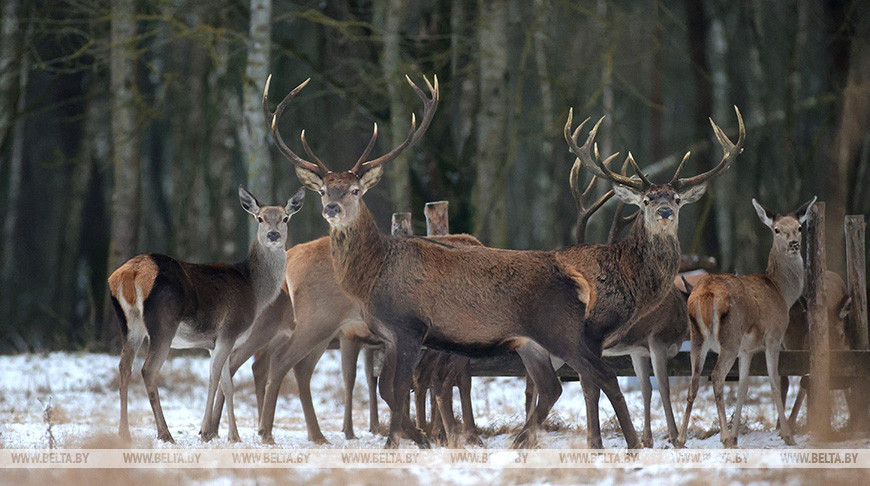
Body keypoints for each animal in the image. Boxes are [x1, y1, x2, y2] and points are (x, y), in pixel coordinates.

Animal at [107, 186, 304, 444]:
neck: (254, 289)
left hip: (130, 325)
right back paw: (165, 433)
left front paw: (231, 435)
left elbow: (227, 384)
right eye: (260, 218)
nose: (273, 235)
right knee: (148, 370)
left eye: (285, 218)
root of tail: (130, 274)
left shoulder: (215, 342)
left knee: (124, 366)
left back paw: (124, 432)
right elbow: (214, 379)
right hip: (163, 323)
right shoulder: (229, 331)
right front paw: (207, 432)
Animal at [680, 196, 816, 446]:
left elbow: (743, 385)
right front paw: (787, 435)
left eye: (800, 228)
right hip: (729, 338)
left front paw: (736, 435)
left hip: (697, 338)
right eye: (776, 229)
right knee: (716, 376)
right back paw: (723, 436)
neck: (781, 292)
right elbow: (774, 381)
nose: (793, 244)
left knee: (694, 381)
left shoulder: (747, 349)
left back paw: (680, 439)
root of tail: (706, 295)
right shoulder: (774, 336)